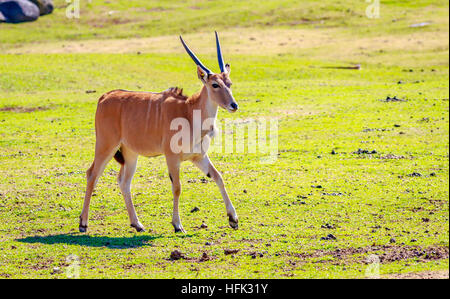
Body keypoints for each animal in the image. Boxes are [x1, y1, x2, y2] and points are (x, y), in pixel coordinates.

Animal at [79, 32, 239, 234]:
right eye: (215, 84)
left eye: (229, 83)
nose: (234, 105)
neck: (189, 111)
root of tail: (105, 97)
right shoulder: (171, 157)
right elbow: (177, 187)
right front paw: (177, 225)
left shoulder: (198, 157)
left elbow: (218, 177)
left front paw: (233, 219)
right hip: (106, 146)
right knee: (92, 174)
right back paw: (83, 223)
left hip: (130, 154)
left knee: (124, 181)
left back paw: (137, 224)